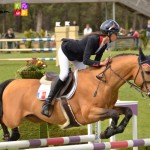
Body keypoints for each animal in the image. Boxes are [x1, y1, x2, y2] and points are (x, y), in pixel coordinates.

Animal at [0, 48, 149, 141]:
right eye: (147, 71)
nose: (149, 93)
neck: (104, 82)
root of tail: (11, 82)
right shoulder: (89, 114)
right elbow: (114, 114)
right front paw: (108, 132)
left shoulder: (108, 107)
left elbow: (127, 111)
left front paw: (112, 130)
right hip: (13, 117)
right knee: (3, 120)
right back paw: (9, 136)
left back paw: (13, 135)